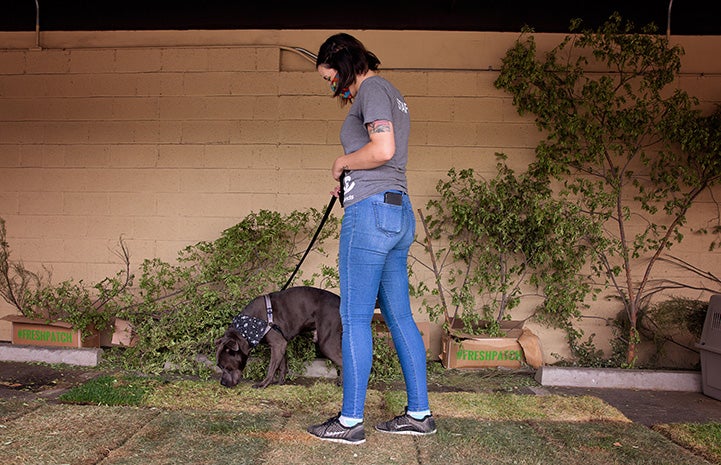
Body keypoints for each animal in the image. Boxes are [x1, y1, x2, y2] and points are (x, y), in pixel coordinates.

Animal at [214, 286, 344, 388]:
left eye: (227, 368)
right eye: (219, 367)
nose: (222, 383)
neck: (247, 327)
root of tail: (340, 301)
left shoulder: (277, 344)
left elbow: (271, 367)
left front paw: (263, 384)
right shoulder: (281, 345)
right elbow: (282, 365)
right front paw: (280, 382)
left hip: (327, 344)